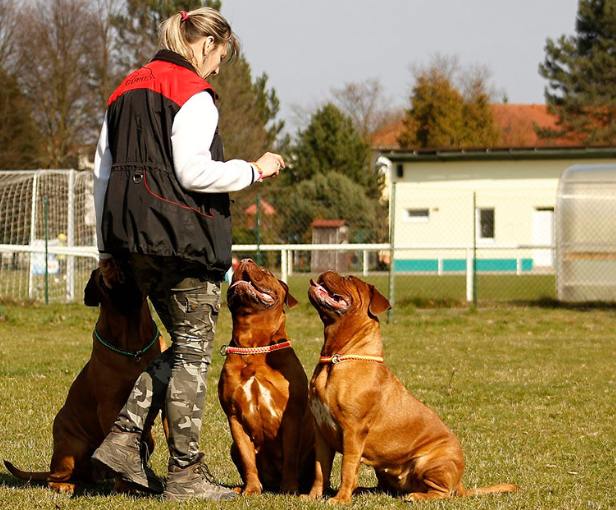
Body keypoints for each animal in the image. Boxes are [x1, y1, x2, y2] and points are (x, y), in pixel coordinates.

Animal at [3, 258, 166, 494]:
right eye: (103, 276)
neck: (132, 345)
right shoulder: (109, 406)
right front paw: (124, 484)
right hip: (73, 448)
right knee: (53, 478)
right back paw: (66, 485)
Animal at [218, 258, 316, 494]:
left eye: (266, 272)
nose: (245, 260)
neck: (254, 346)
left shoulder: (291, 417)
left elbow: (290, 457)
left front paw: (289, 488)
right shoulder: (234, 417)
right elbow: (247, 459)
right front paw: (252, 489)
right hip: (232, 447)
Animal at [306, 272, 516, 504]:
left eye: (349, 278)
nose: (327, 271)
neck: (337, 357)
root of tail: (460, 483)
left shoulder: (353, 431)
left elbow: (347, 468)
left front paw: (341, 499)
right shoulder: (321, 432)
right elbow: (320, 470)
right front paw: (313, 496)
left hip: (430, 461)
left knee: (442, 493)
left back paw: (416, 496)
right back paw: (364, 490)